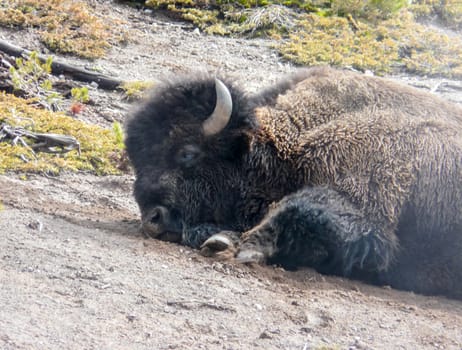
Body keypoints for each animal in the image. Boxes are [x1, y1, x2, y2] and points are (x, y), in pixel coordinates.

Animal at [124, 67, 462, 300]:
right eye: (137, 158)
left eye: (188, 152)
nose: (153, 219)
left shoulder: (369, 214)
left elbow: (299, 209)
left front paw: (232, 245)